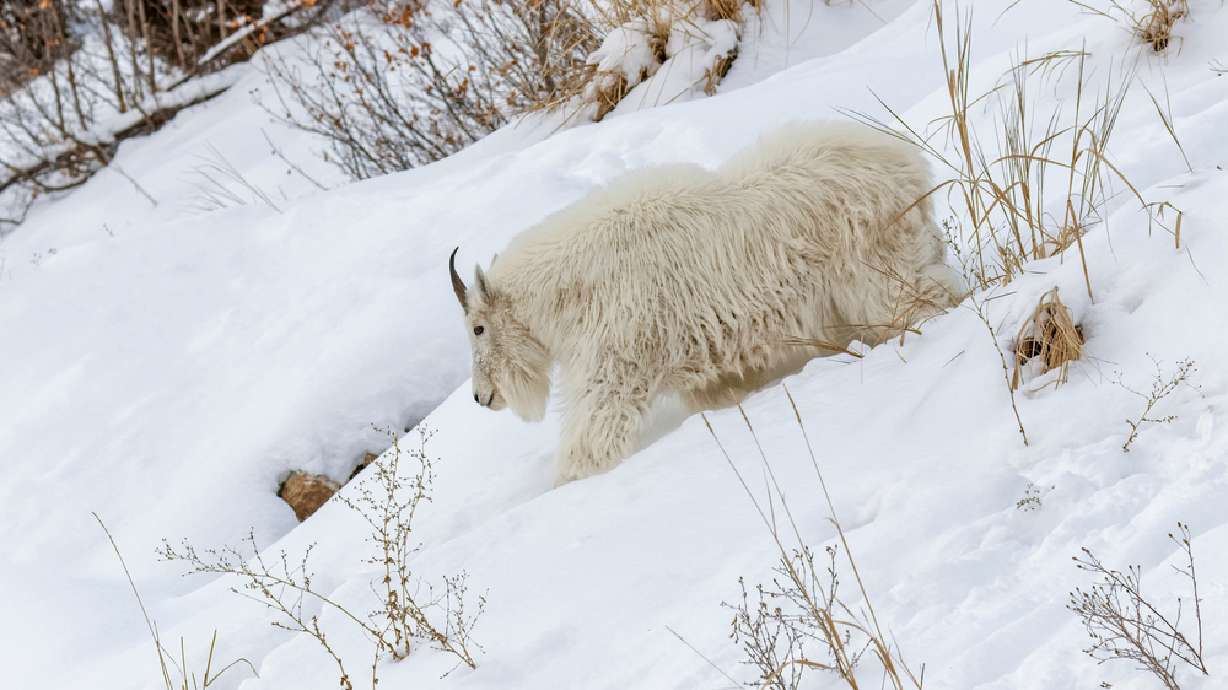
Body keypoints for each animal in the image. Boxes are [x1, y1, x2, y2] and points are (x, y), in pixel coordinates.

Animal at [449, 121, 960, 484]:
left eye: (478, 327)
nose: (481, 396)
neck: (568, 289)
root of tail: (908, 165)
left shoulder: (613, 370)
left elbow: (589, 443)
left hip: (878, 274)